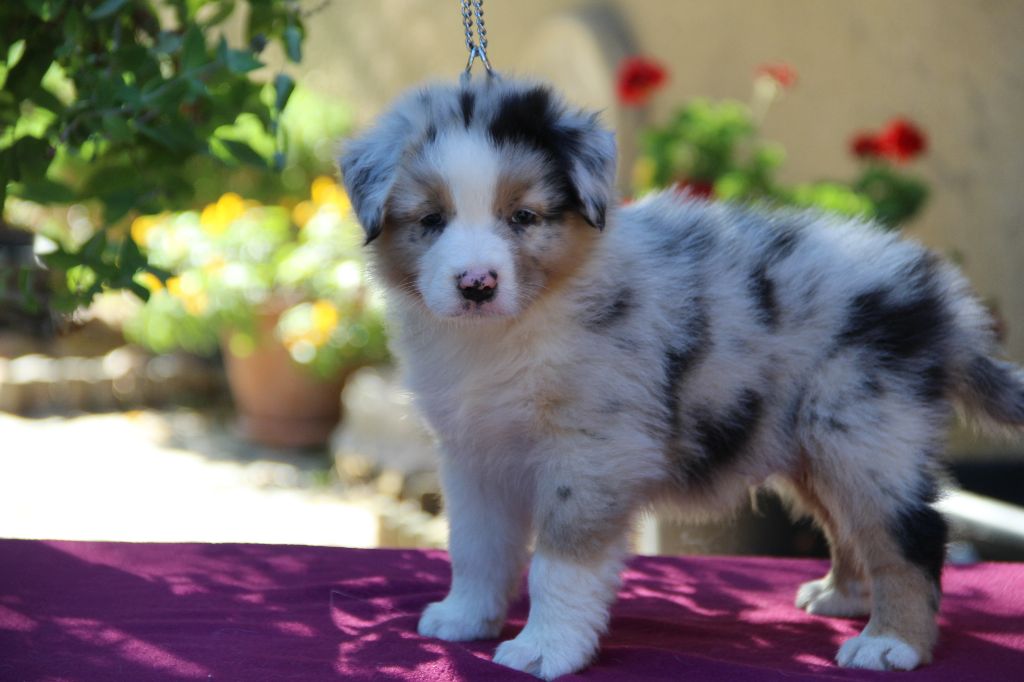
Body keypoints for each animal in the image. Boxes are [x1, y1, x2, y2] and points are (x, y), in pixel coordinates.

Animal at [339, 77, 1024, 679]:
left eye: (524, 217)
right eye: (431, 221)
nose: (477, 285)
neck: (507, 332)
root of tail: (942, 299)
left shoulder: (591, 451)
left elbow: (559, 563)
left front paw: (544, 649)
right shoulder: (474, 451)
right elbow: (476, 545)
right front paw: (465, 619)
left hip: (863, 428)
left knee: (912, 533)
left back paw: (890, 643)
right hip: (815, 443)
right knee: (850, 524)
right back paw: (844, 598)